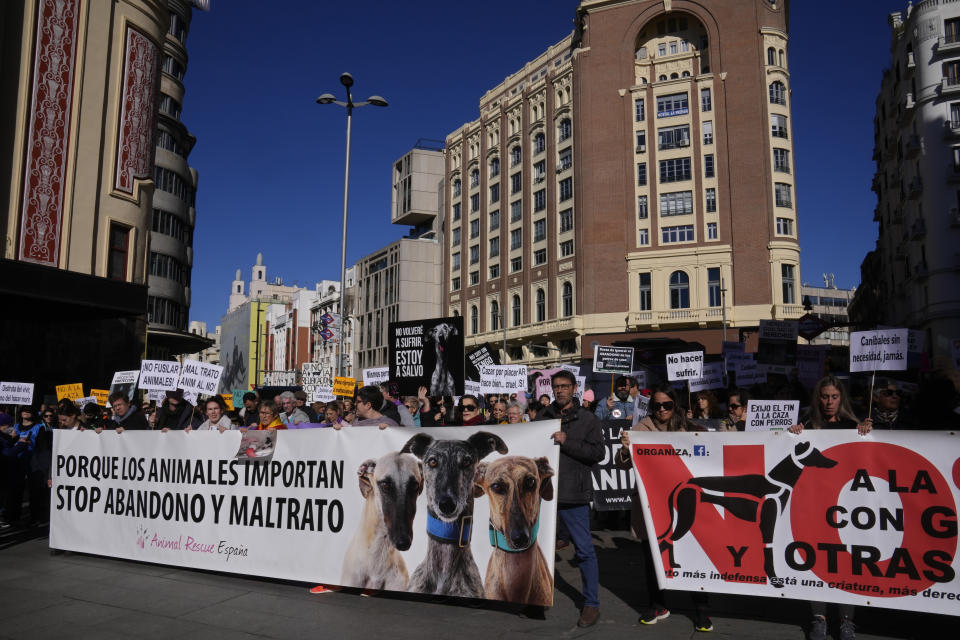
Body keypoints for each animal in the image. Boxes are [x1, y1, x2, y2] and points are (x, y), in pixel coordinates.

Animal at [656, 440, 836, 584]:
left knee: (668, 541)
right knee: (665, 541)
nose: (834, 462)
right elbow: (768, 551)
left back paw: (672, 566)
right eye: (816, 453)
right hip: (687, 517)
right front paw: (774, 580)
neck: (776, 484)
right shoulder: (768, 522)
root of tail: (684, 482)